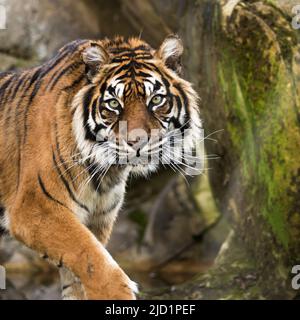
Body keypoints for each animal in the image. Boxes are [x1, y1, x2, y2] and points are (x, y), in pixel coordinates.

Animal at [0, 35, 203, 300]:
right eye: (114, 104)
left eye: (156, 100)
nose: (137, 141)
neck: (107, 171)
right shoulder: (34, 207)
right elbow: (90, 256)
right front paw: (116, 294)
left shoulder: (97, 218)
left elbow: (78, 272)